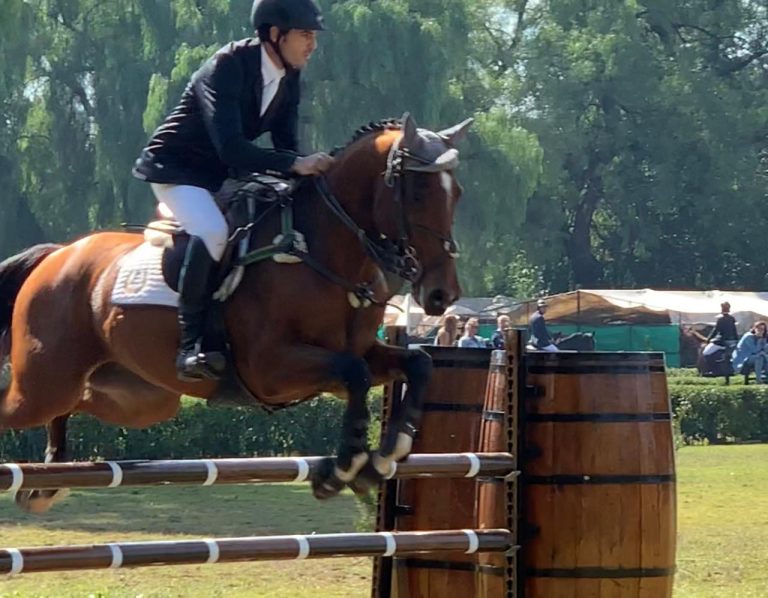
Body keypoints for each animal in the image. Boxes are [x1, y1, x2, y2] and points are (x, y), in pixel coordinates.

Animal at [0, 115, 472, 512]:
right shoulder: (270, 369)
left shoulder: (357, 356)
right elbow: (353, 372)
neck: (319, 249)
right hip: (42, 386)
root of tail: (58, 254)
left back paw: (47, 478)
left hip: (139, 398)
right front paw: (342, 468)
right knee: (26, 407)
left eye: (458, 195)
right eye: (417, 193)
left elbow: (417, 362)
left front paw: (387, 453)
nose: (441, 294)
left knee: (80, 402)